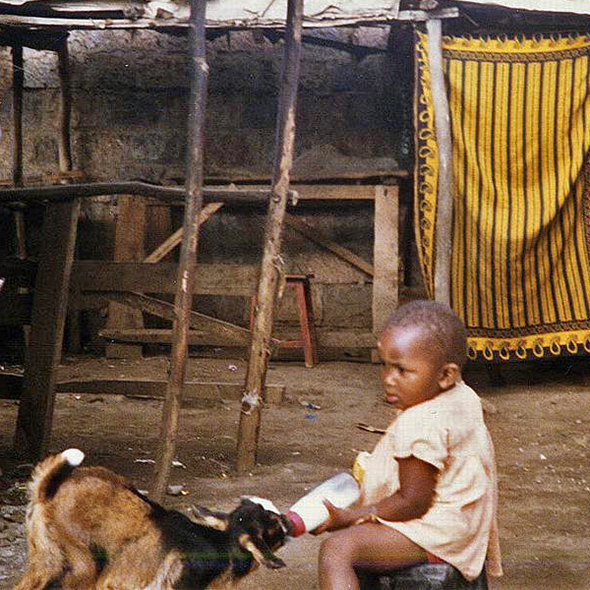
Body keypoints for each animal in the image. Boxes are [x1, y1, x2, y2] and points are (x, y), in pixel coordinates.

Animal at [13, 450, 292, 588]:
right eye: (275, 524)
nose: (289, 522)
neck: (221, 545)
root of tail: (47, 489)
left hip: (46, 558)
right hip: (83, 563)